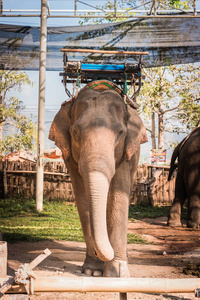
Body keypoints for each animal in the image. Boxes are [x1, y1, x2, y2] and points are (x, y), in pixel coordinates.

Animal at [49, 79, 148, 276]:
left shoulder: (126, 154)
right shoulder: (70, 158)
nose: (108, 255)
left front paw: (117, 273)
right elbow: (82, 198)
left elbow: (118, 196)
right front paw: (92, 271)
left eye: (120, 132)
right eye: (75, 132)